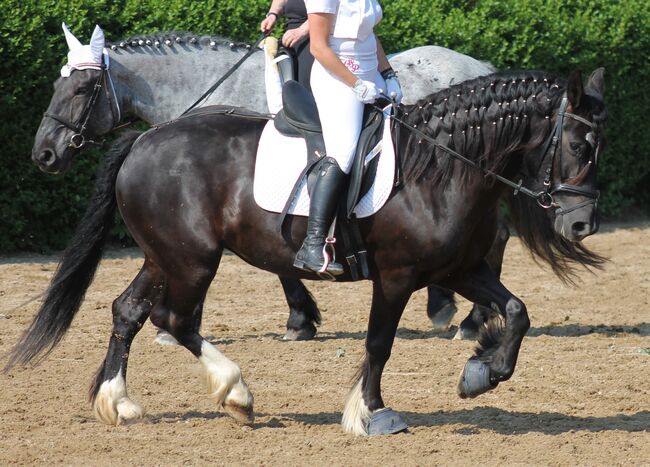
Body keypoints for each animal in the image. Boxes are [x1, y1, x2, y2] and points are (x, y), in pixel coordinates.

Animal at [10, 66, 604, 436]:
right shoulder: (397, 275)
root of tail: (144, 139)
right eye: (580, 145)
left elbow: (518, 311)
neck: (443, 168)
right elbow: (379, 344)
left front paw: (481, 373)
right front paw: (370, 414)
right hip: (192, 260)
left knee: (128, 311)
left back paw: (118, 400)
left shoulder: (459, 267)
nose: (582, 224)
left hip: (166, 256)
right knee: (173, 319)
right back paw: (235, 392)